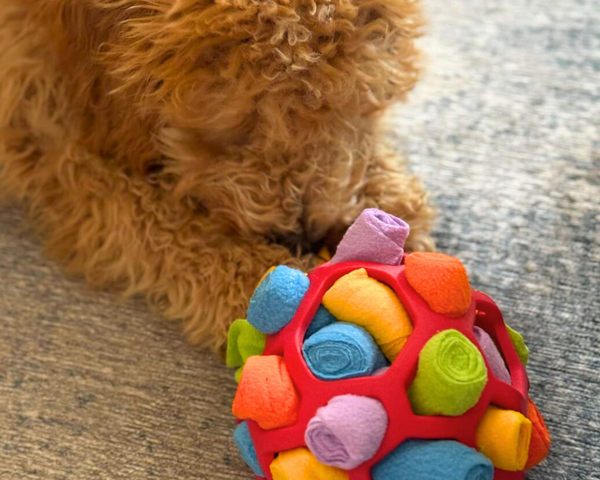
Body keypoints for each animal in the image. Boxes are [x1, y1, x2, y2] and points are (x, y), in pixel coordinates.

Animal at [0, 0, 434, 352]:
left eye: (351, 103)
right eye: (240, 127)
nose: (303, 235)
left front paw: (390, 200)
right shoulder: (55, 147)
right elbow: (155, 224)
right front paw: (268, 290)